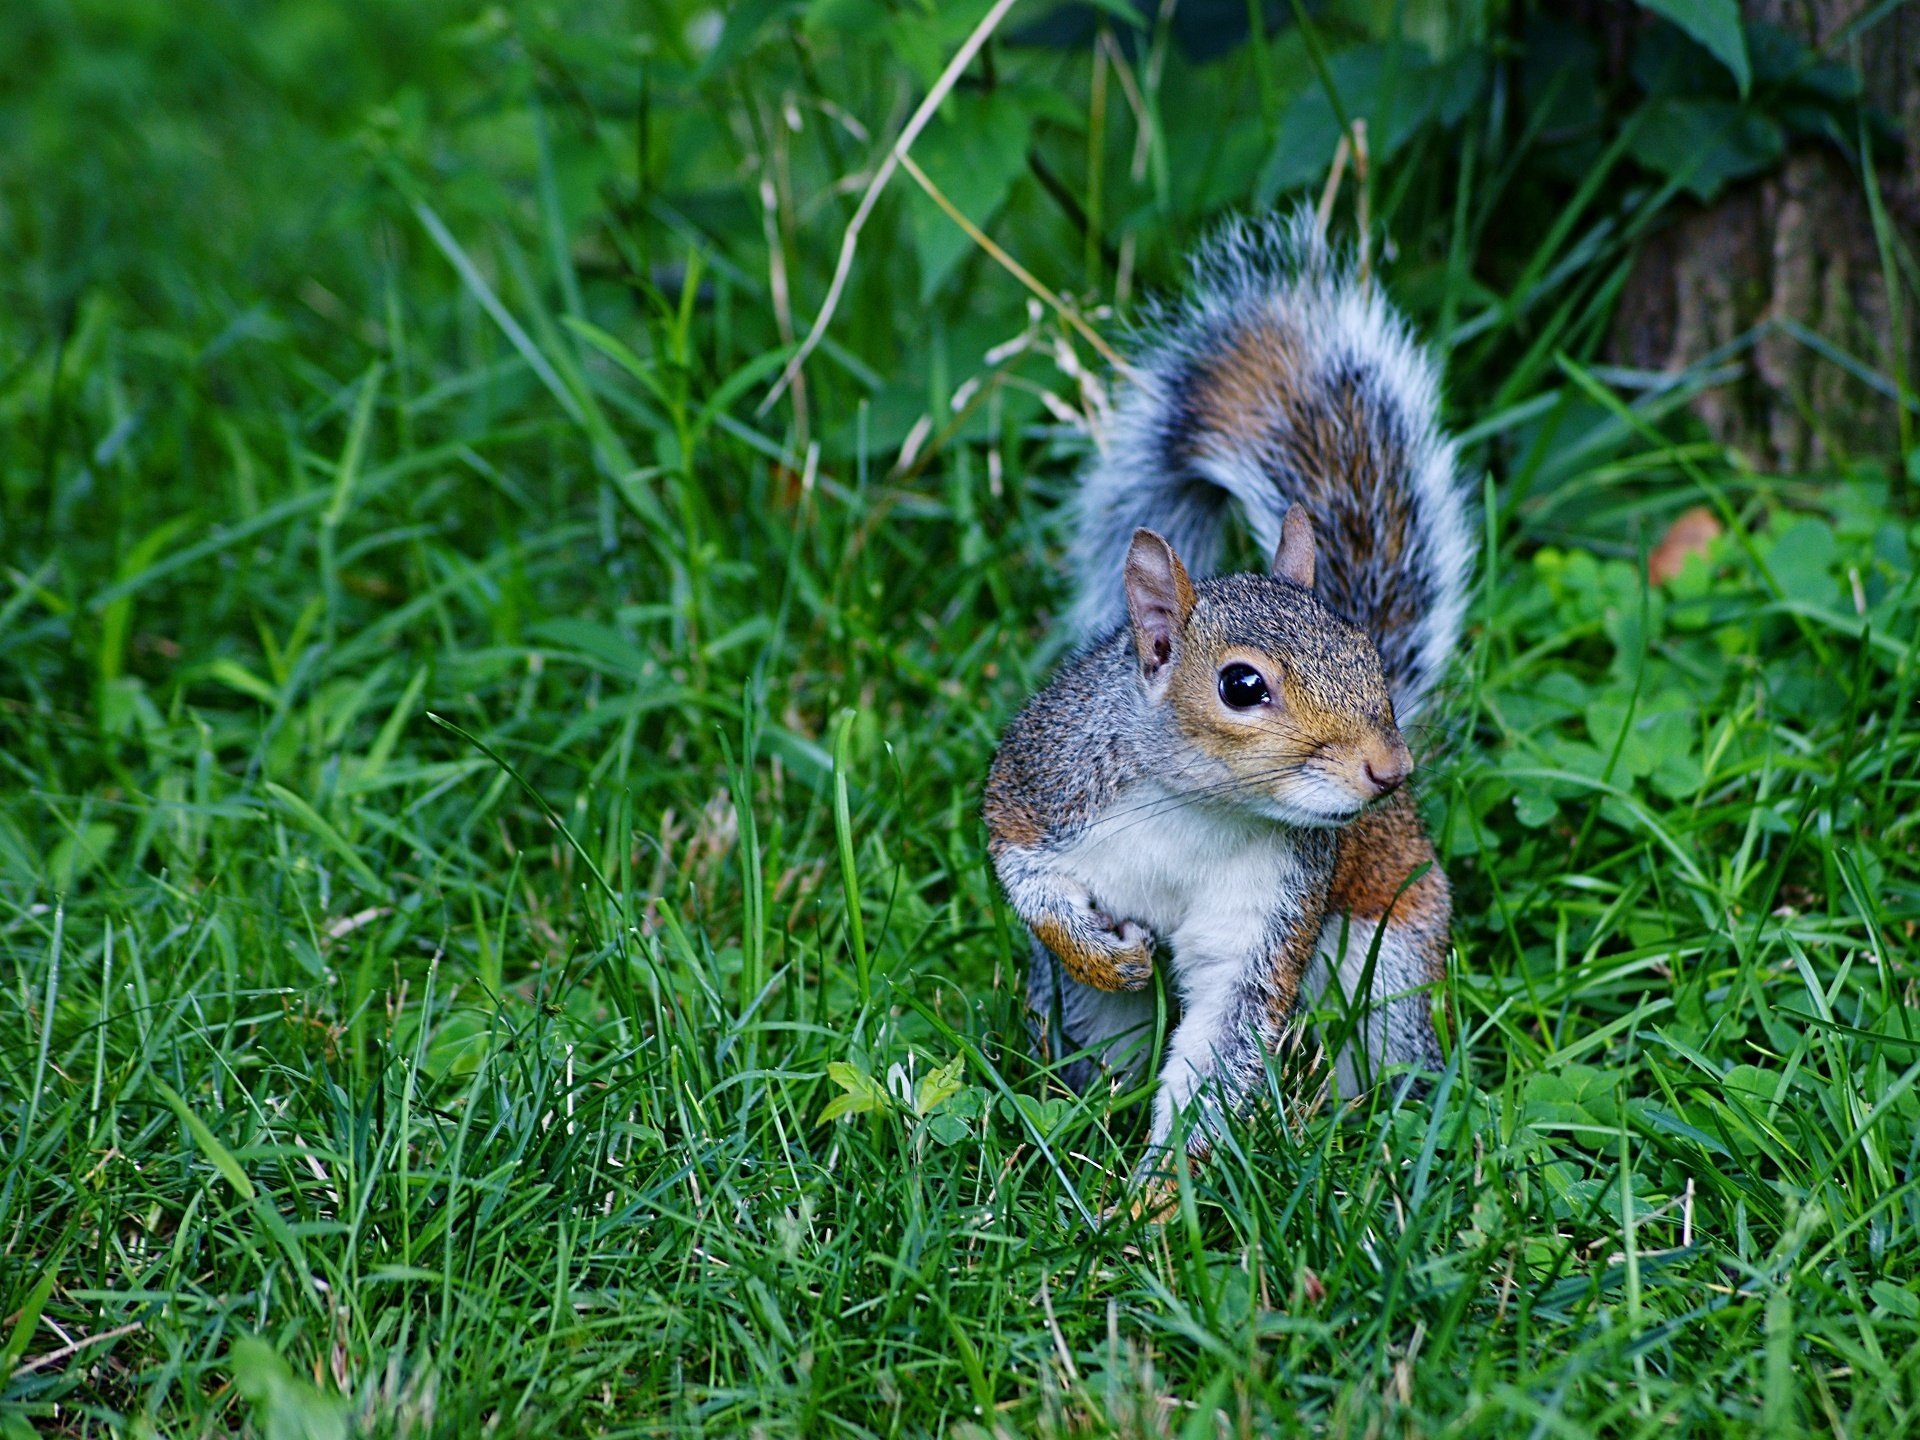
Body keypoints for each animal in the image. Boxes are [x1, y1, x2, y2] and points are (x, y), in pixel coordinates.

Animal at [983, 211, 1474, 1175]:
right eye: (1241, 685)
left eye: (1367, 653)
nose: (1388, 769)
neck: (1196, 808)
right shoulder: (1041, 785)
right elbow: (1027, 879)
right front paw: (1106, 956)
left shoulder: (1270, 910)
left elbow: (1224, 1041)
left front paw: (1154, 1197)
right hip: (1091, 1019)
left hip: (1390, 953)